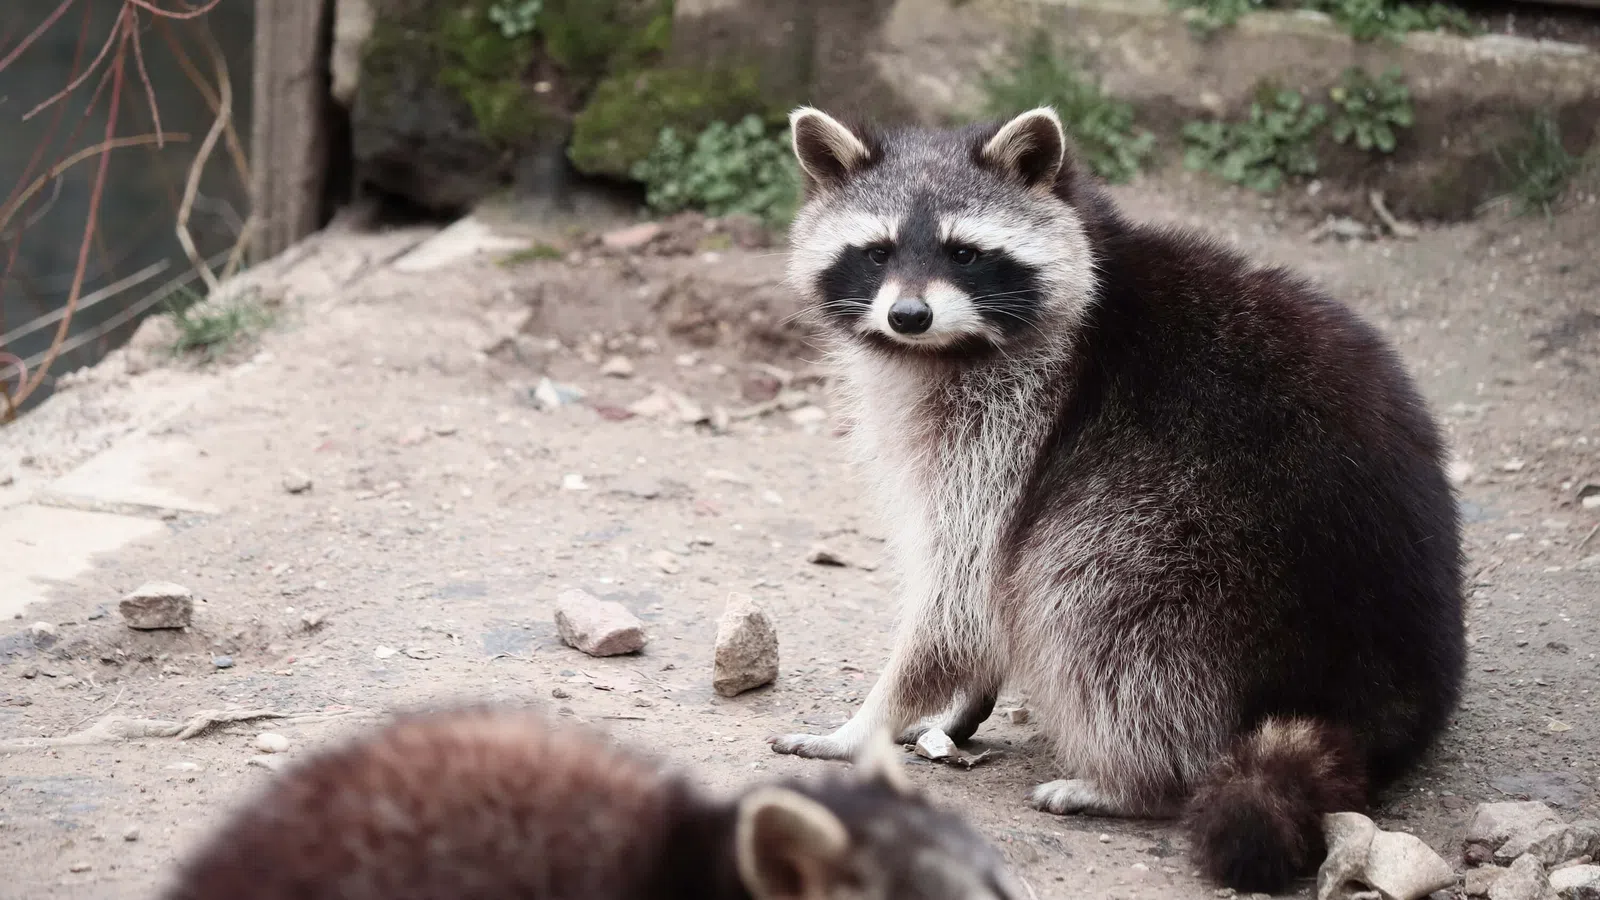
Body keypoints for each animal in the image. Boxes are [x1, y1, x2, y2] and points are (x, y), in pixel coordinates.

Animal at [769, 106, 1465, 894]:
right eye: (878, 251)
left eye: (964, 254)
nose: (909, 315)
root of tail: (1374, 696)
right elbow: (981, 605)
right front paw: (960, 703)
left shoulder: (1017, 421)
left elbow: (963, 595)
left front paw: (865, 725)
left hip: (1196, 537)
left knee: (1093, 595)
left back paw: (1136, 780)